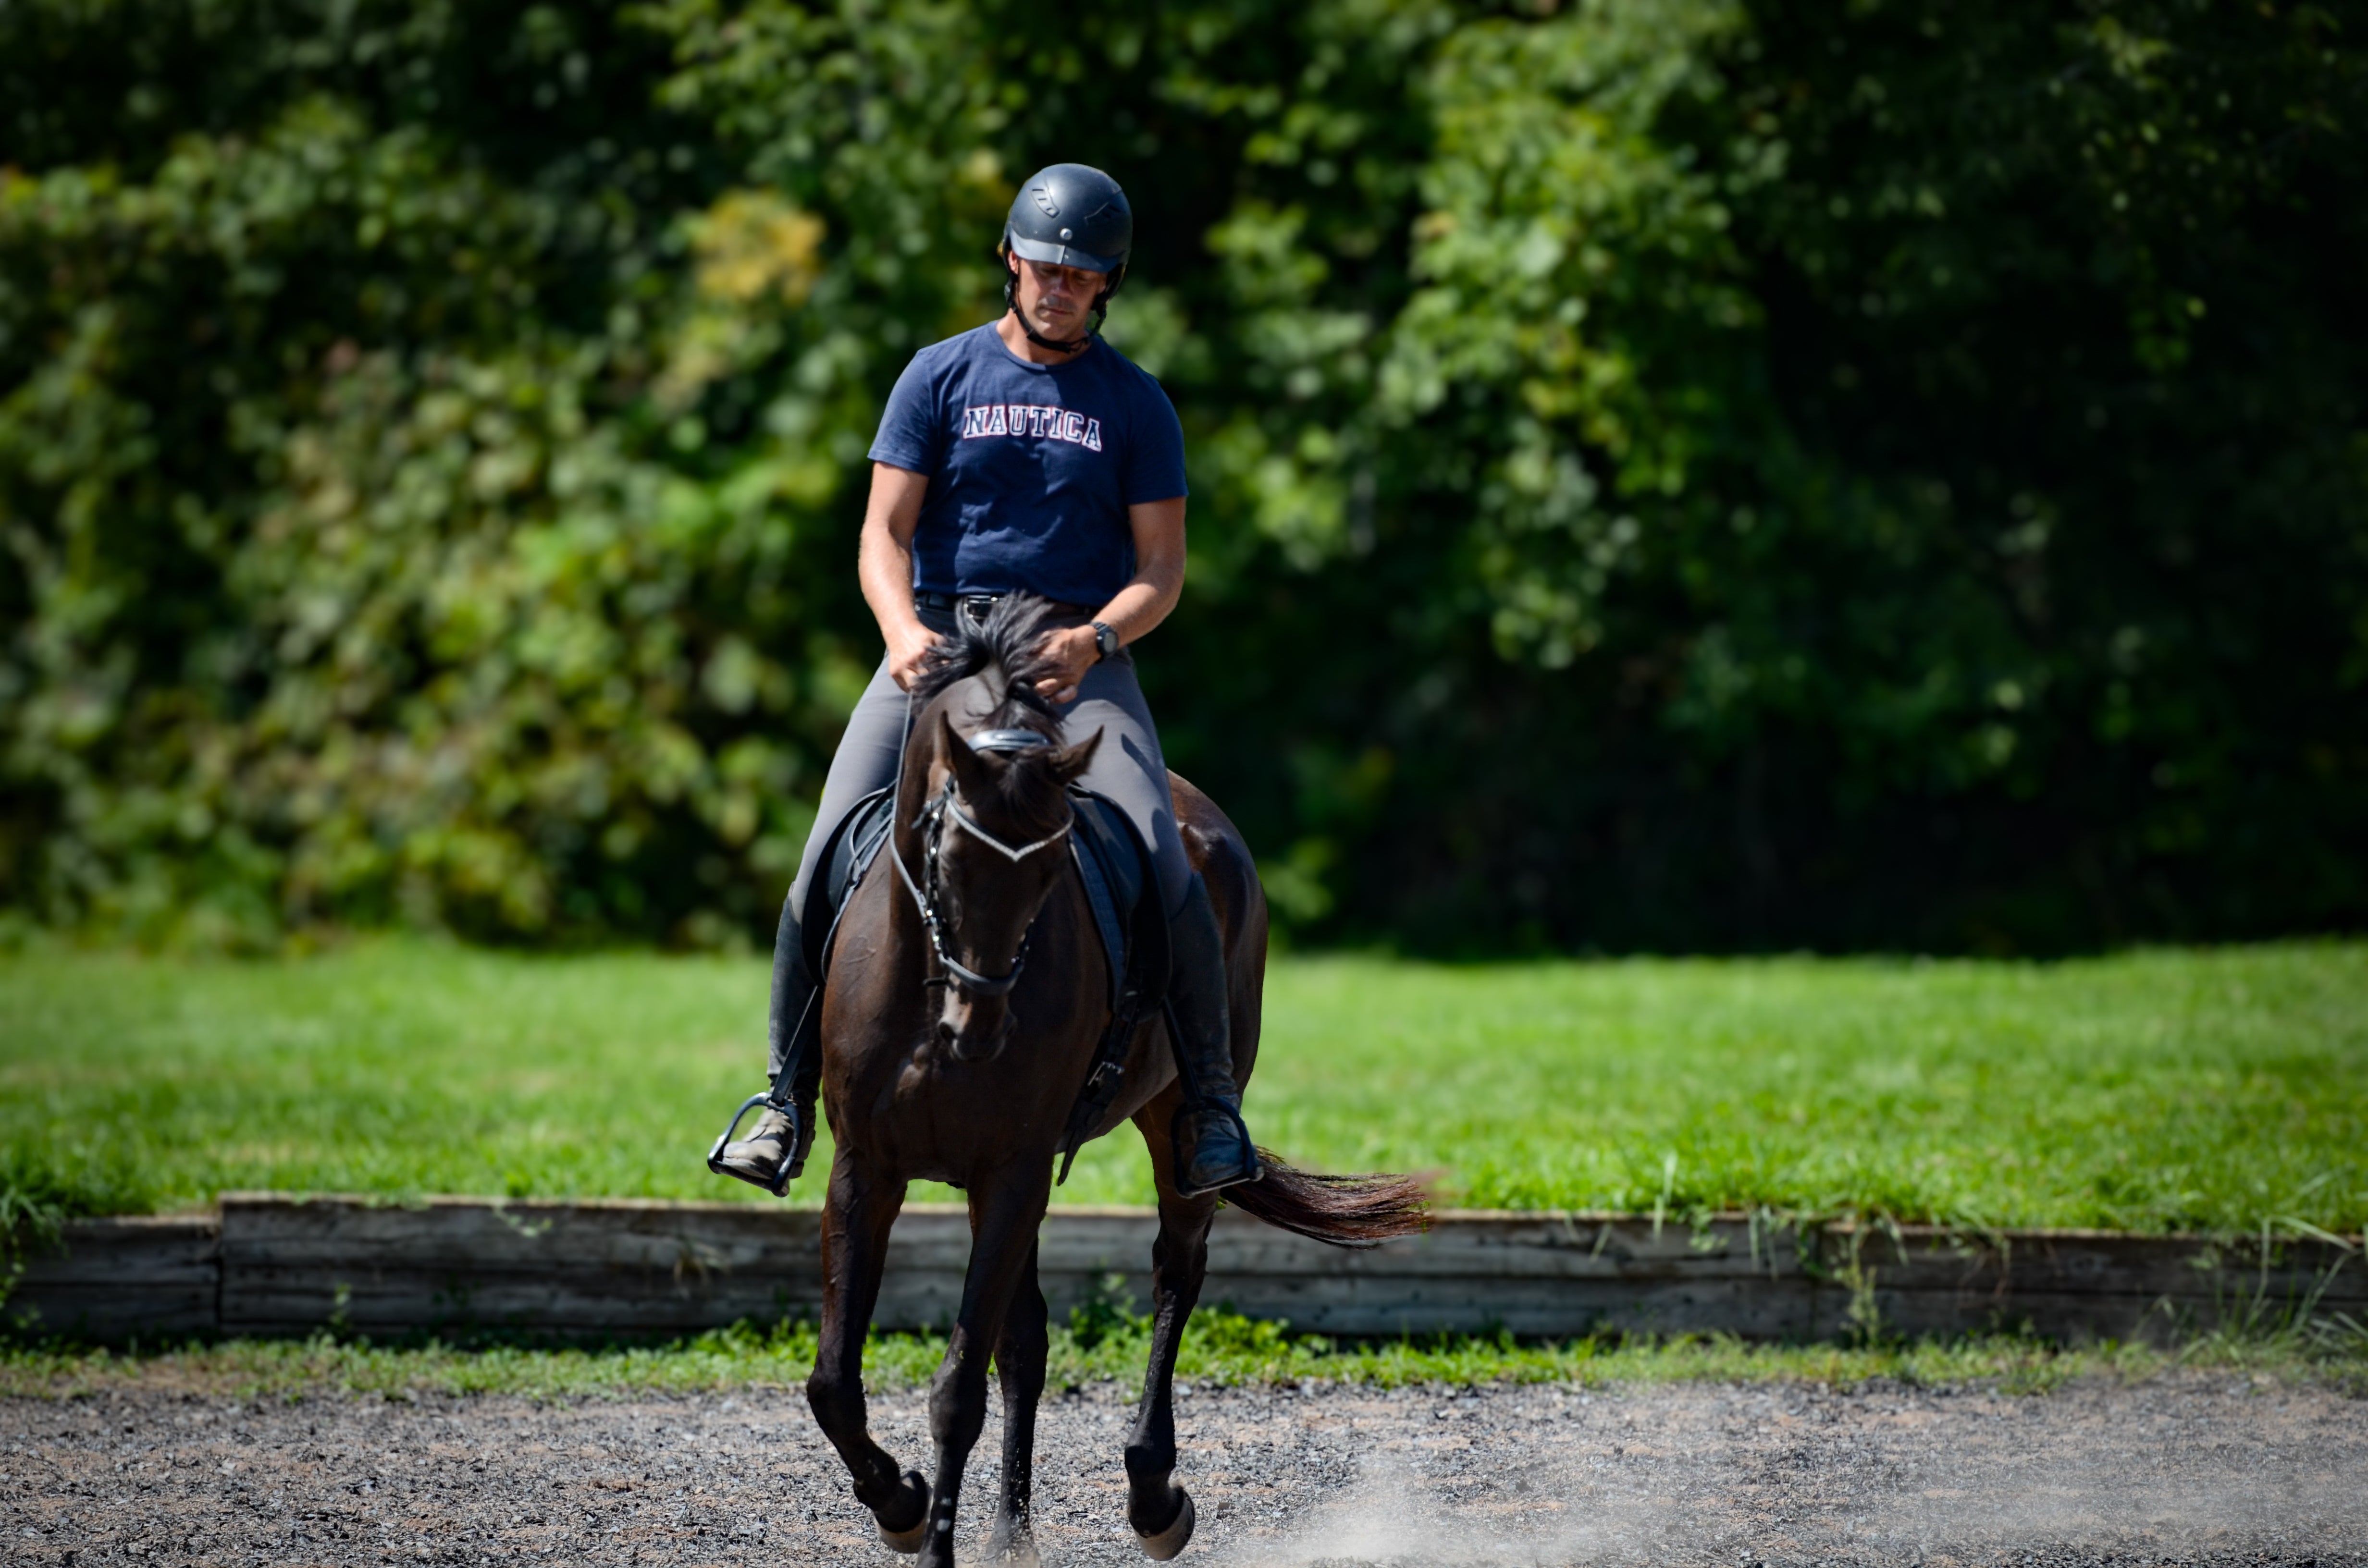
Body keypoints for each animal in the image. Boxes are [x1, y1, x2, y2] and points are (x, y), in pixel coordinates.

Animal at [805, 592, 1420, 1568]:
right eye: (942, 852)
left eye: (1051, 873)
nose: (980, 1031)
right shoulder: (868, 1167)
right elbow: (837, 1379)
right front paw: (900, 1503)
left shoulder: (1012, 1169)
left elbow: (956, 1389)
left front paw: (921, 1524)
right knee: (1025, 1338)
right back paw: (1011, 1531)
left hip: (1176, 1121)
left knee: (1176, 1270)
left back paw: (1153, 1495)